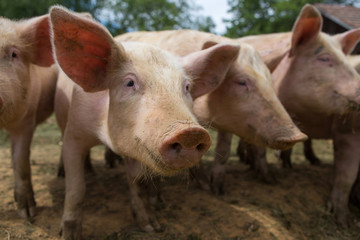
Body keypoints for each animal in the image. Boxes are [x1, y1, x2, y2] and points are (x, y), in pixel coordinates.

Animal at [48, 6, 248, 239]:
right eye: (129, 83)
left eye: (187, 87)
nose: (190, 133)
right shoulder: (75, 133)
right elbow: (76, 187)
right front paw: (68, 234)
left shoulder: (138, 147)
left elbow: (137, 183)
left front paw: (152, 227)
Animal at [235, 4, 360, 227]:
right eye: (324, 58)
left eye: (347, 61)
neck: (306, 112)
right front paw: (270, 179)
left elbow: (347, 174)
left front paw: (343, 220)